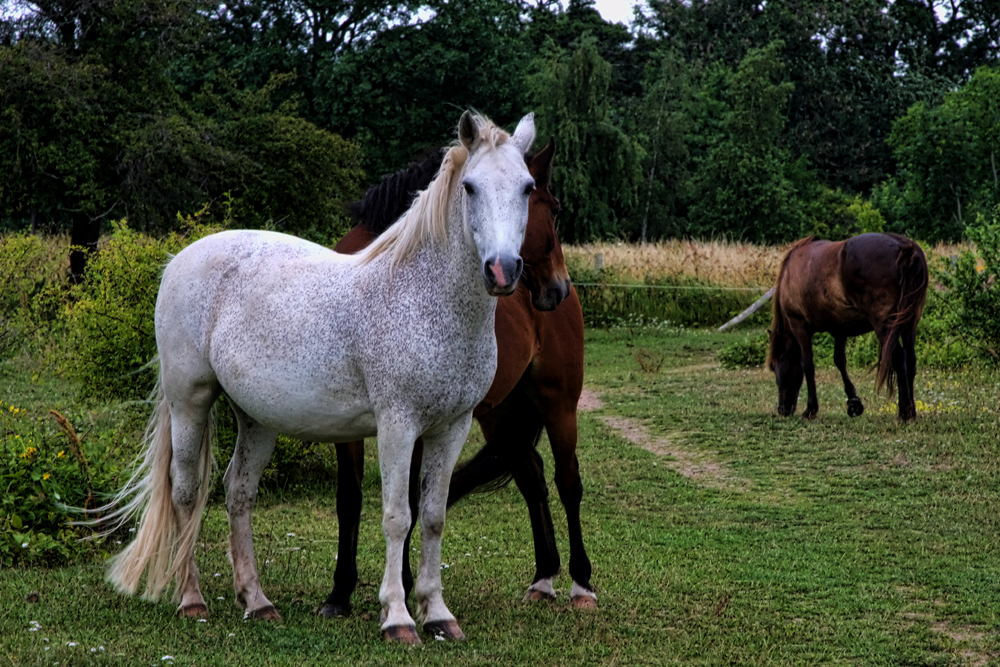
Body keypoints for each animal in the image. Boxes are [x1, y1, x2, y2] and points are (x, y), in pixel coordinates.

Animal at [96, 112, 540, 644]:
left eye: (528, 187)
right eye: (471, 187)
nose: (503, 270)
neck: (423, 297)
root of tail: (179, 260)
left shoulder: (452, 427)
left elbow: (433, 517)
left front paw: (438, 614)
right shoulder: (397, 425)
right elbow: (398, 517)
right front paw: (397, 617)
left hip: (256, 418)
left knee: (237, 491)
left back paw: (257, 601)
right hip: (190, 401)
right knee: (185, 490)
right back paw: (191, 599)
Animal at [320, 138, 596, 620]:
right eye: (554, 208)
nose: (556, 288)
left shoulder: (414, 421)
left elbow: (411, 501)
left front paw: (404, 585)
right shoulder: (352, 425)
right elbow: (350, 499)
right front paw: (340, 592)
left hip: (558, 402)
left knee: (568, 482)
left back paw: (581, 583)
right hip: (501, 414)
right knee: (532, 477)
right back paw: (544, 577)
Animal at [764, 234, 928, 422]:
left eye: (775, 368)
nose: (782, 409)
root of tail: (905, 247)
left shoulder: (799, 326)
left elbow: (808, 364)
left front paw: (811, 409)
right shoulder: (840, 329)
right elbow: (839, 361)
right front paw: (854, 403)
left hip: (885, 327)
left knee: (899, 358)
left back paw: (904, 412)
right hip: (910, 325)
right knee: (910, 360)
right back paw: (912, 410)